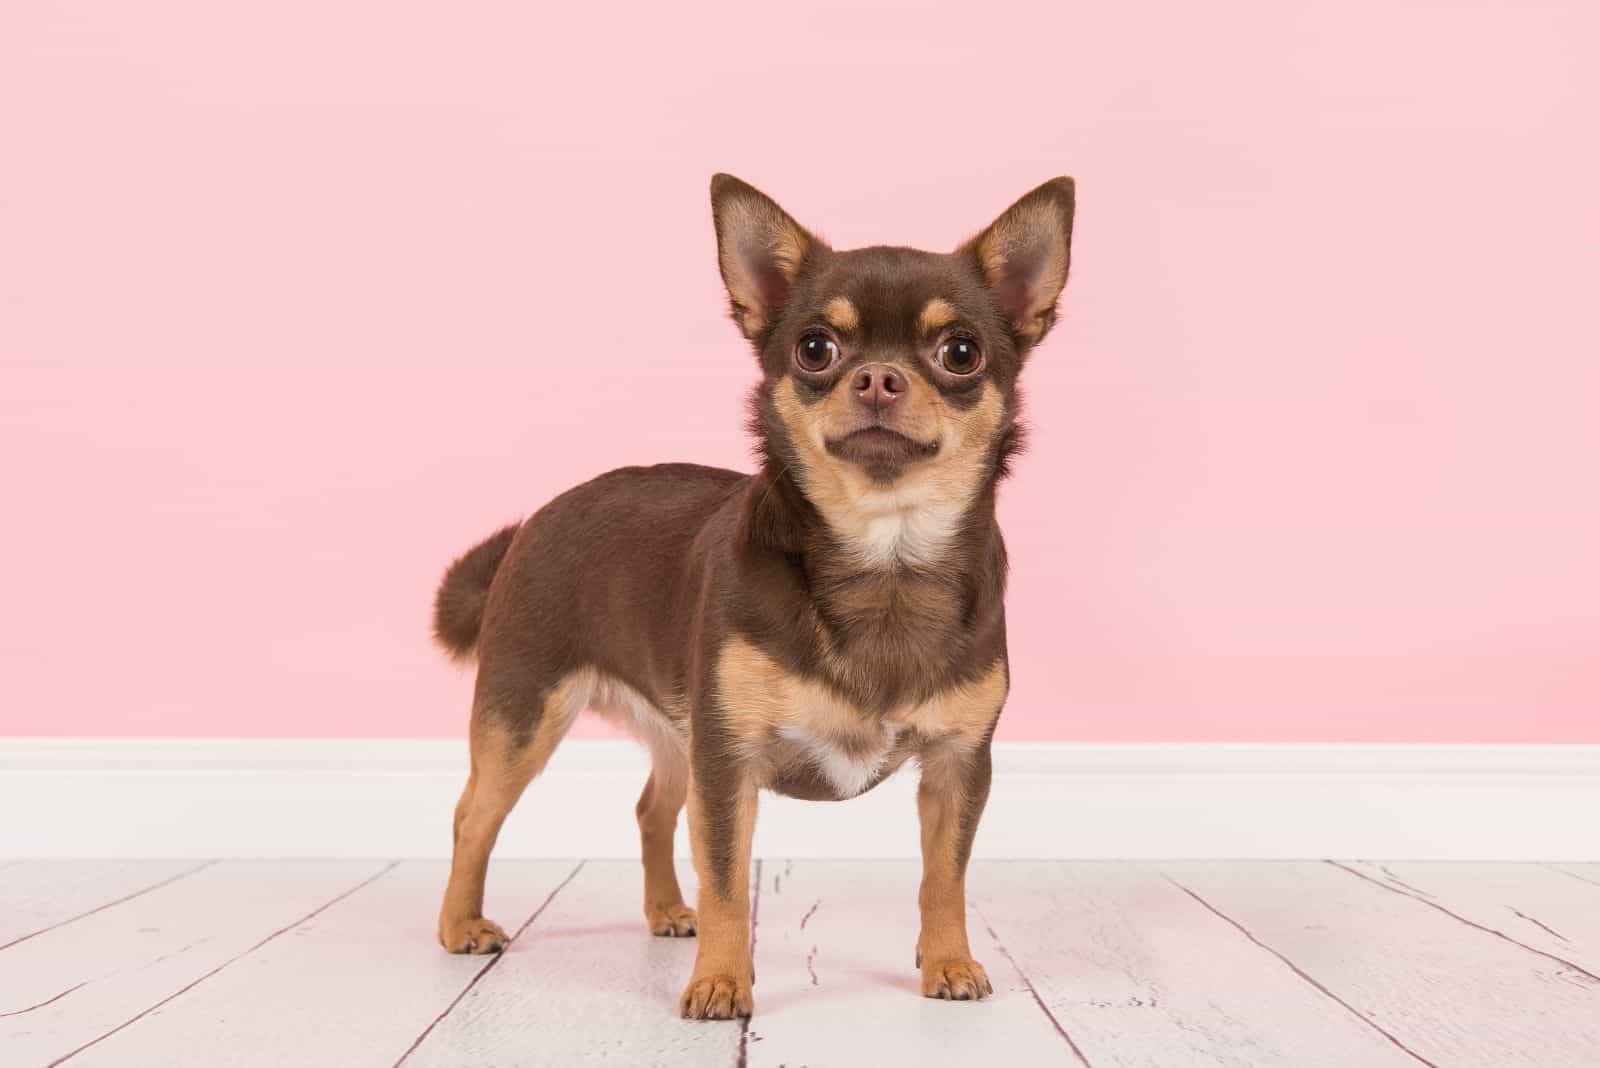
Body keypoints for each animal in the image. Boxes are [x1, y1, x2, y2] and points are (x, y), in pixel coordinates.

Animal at [435, 173, 1075, 1016]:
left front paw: (948, 961)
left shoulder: (956, 767)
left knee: (651, 810)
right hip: (524, 716)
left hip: (676, 730)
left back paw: (667, 911)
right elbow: (729, 882)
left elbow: (946, 876)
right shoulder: (729, 763)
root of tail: (529, 525)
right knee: (472, 815)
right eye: (815, 348)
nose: (878, 377)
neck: (887, 554)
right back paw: (461, 924)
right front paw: (719, 982)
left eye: (961, 353)